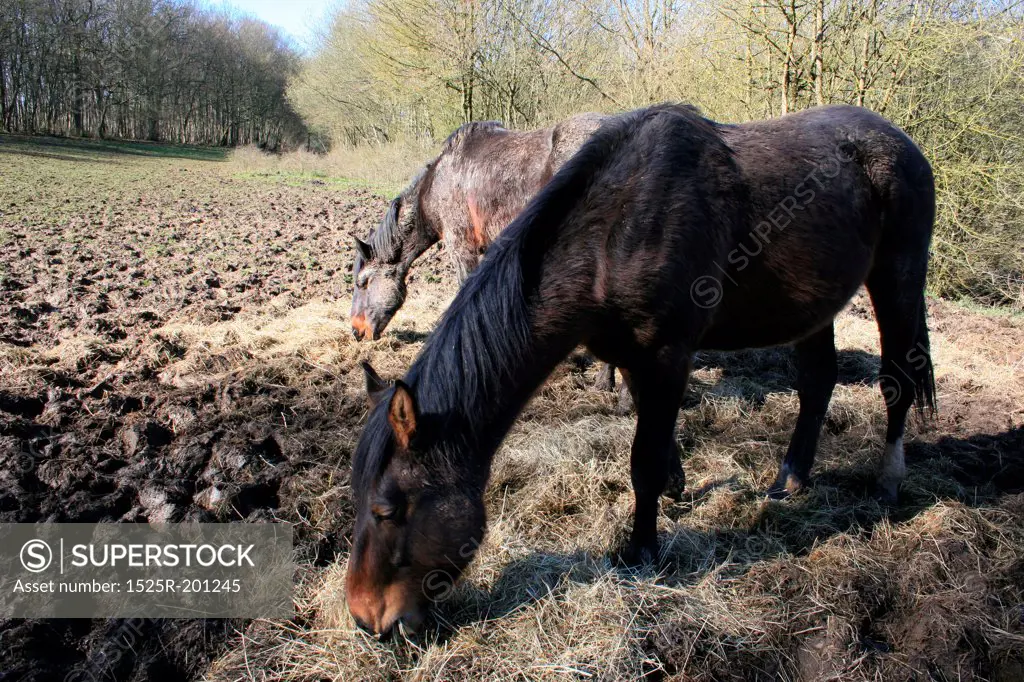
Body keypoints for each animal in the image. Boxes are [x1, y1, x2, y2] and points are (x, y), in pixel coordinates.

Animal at [344, 103, 937, 634]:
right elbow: (654, 438)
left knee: (898, 382)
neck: (616, 232)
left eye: (388, 509)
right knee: (816, 383)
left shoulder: (666, 355)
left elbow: (643, 460)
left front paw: (643, 551)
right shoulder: (633, 357)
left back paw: (888, 483)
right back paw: (789, 479)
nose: (365, 618)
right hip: (815, 305)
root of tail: (903, 142)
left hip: (898, 277)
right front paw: (677, 486)